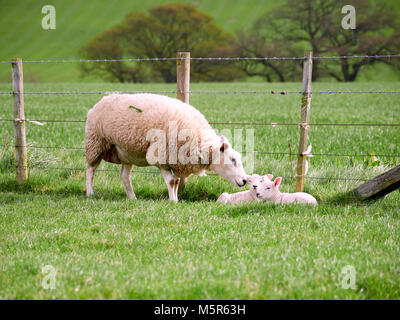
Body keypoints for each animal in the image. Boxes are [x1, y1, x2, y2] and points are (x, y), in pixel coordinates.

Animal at [85, 94, 247, 201]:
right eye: (232, 160)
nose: (245, 180)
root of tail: (102, 100)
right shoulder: (161, 155)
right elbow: (171, 181)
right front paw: (173, 201)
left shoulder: (175, 159)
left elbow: (176, 182)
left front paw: (175, 199)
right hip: (96, 143)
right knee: (90, 170)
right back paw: (90, 193)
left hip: (126, 151)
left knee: (125, 176)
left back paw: (132, 197)